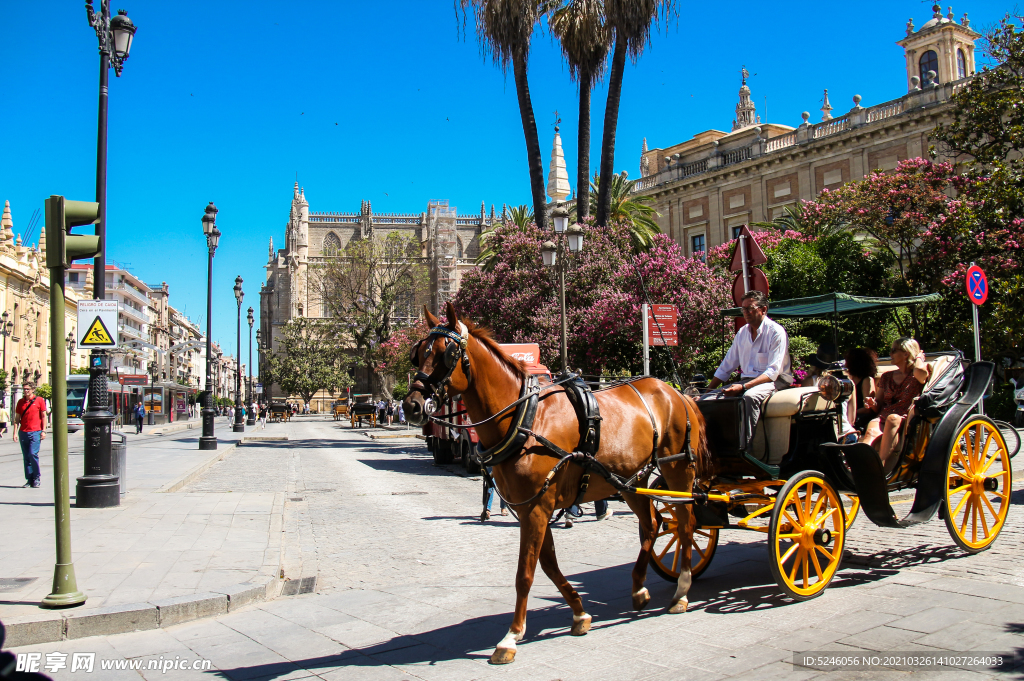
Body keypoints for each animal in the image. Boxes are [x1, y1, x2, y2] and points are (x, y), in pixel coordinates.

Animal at [401, 303, 712, 663]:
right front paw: (579, 613)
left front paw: (511, 637)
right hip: (630, 480)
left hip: (677, 472)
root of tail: (675, 392)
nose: (410, 405)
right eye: (419, 353)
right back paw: (639, 588)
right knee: (652, 525)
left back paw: (682, 589)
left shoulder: (537, 508)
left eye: (446, 354)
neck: (524, 418)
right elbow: (548, 564)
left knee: (685, 523)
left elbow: (525, 572)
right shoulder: (532, 508)